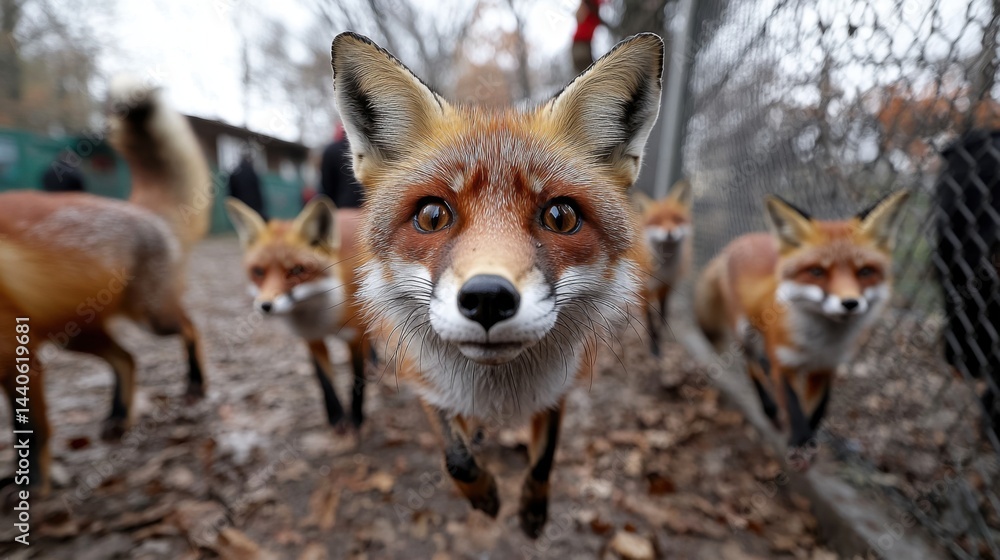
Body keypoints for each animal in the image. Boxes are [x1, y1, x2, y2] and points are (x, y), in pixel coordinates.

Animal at [0, 78, 212, 493]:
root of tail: (136, 209)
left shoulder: (15, 355)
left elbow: (31, 432)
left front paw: (31, 490)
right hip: (74, 333)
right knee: (126, 358)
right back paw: (118, 418)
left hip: (150, 319)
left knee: (190, 328)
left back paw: (195, 385)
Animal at [224, 195, 369, 432]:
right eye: (258, 272)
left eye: (297, 270)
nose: (265, 306)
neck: (320, 319)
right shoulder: (312, 339)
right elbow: (324, 381)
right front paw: (336, 416)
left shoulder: (355, 337)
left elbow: (358, 379)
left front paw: (356, 417)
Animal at [331, 32, 663, 537]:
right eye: (432, 216)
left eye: (560, 216)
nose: (488, 299)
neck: (497, 390)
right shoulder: (423, 380)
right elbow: (456, 457)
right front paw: (484, 495)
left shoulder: (559, 389)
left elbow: (544, 458)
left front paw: (533, 512)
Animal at [636, 178, 693, 356]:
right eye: (656, 221)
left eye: (677, 219)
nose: (670, 233)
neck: (662, 268)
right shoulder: (644, 290)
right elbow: (649, 321)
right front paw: (654, 347)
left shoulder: (667, 285)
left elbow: (663, 315)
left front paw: (659, 336)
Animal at [694, 191, 909, 450]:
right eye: (817, 272)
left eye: (865, 272)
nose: (850, 303)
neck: (818, 344)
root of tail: (738, 241)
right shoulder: (784, 363)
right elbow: (794, 408)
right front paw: (798, 441)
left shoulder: (826, 366)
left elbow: (816, 410)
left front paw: (810, 440)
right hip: (744, 331)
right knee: (751, 366)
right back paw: (768, 407)